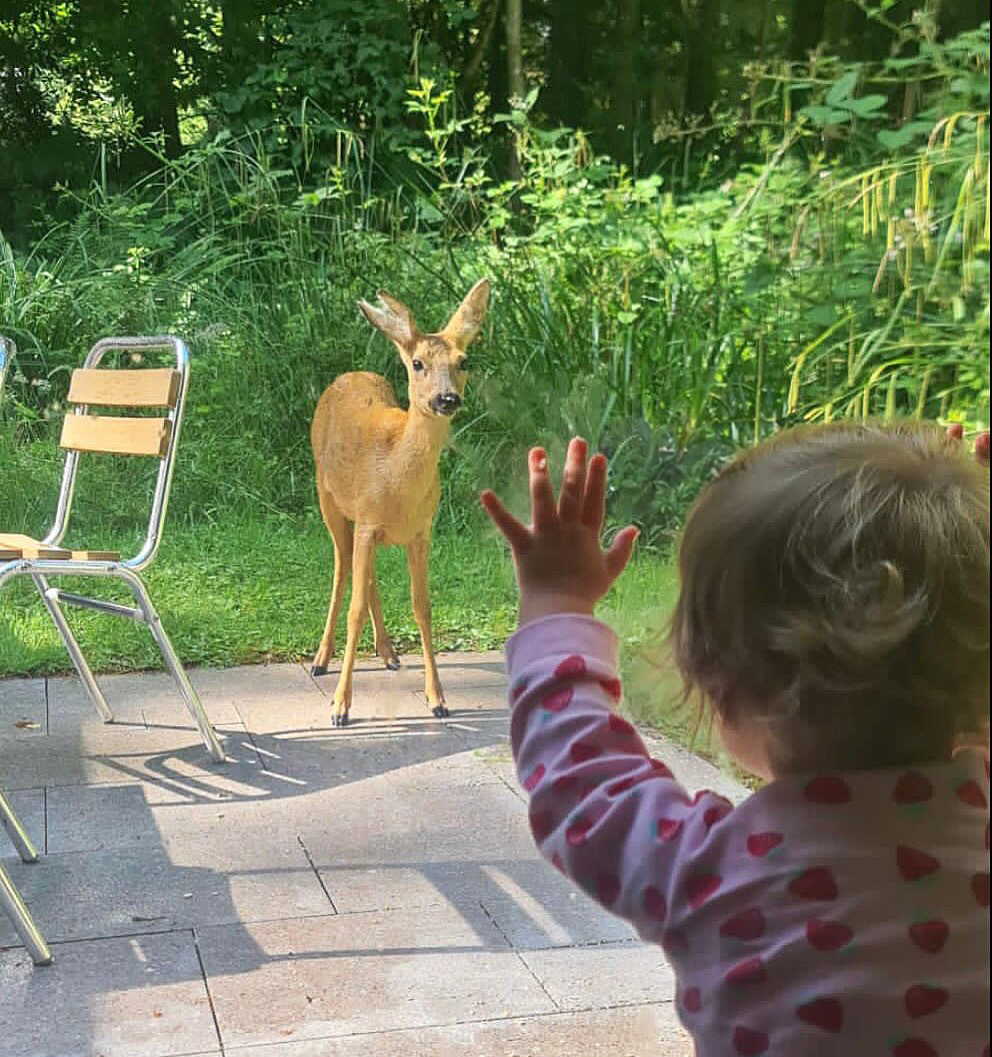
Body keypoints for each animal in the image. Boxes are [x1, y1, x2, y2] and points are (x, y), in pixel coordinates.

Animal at [310, 278, 490, 726]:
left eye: (464, 361)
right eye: (418, 364)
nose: (446, 399)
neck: (397, 477)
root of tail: (351, 373)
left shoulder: (421, 532)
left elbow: (422, 606)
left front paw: (438, 699)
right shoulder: (368, 523)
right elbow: (355, 606)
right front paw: (340, 706)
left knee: (366, 576)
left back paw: (388, 652)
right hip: (327, 499)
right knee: (341, 569)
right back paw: (320, 659)